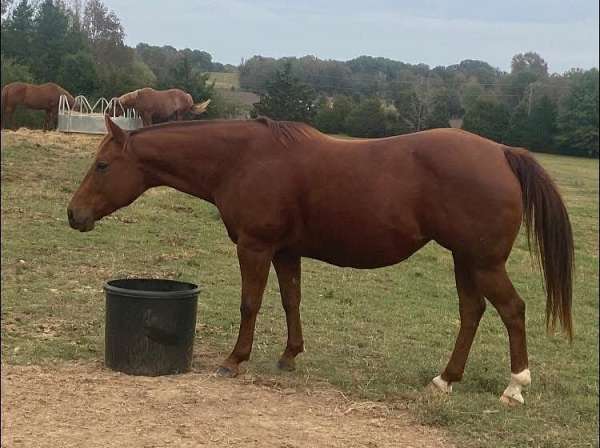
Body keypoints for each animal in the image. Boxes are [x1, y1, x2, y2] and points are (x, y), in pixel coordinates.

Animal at [68, 114, 576, 406]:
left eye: (103, 165)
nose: (74, 214)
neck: (242, 158)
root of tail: (502, 153)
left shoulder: (255, 246)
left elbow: (250, 304)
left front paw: (234, 360)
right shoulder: (286, 252)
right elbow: (291, 300)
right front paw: (289, 355)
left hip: (483, 262)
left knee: (512, 310)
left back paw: (515, 386)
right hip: (464, 261)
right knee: (472, 312)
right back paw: (445, 379)